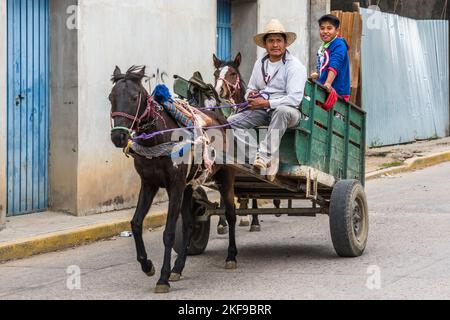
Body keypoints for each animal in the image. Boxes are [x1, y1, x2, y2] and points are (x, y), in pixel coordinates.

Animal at [109, 66, 239, 294]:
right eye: (111, 98)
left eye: (134, 97)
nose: (118, 138)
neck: (157, 138)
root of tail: (221, 119)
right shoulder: (149, 184)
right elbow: (136, 223)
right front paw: (147, 266)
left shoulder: (175, 185)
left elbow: (168, 232)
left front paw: (162, 278)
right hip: (188, 188)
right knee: (189, 224)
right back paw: (178, 268)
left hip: (226, 177)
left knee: (231, 215)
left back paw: (231, 256)